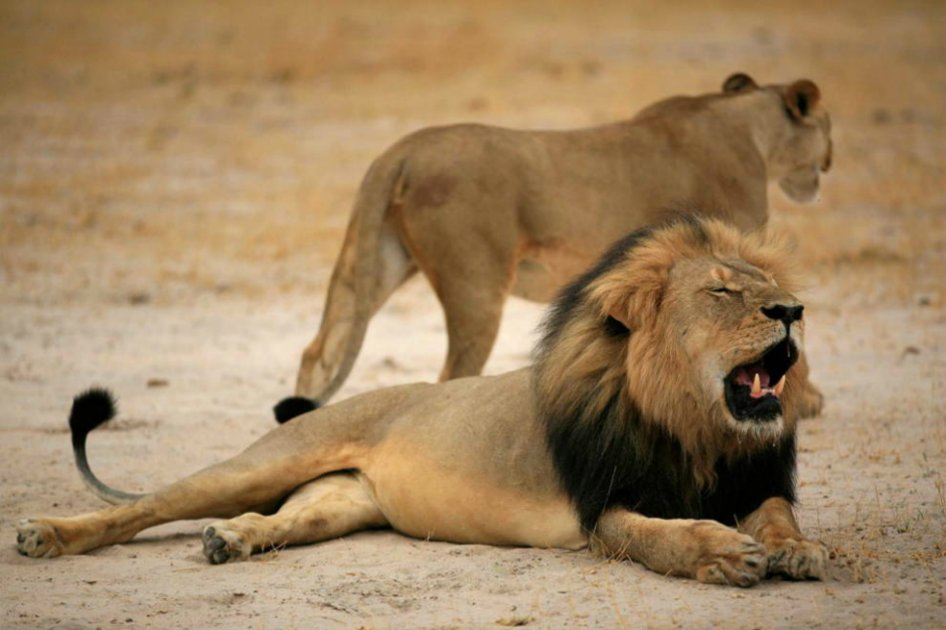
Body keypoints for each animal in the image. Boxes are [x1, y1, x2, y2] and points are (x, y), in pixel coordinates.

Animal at [17, 217, 827, 587]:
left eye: (766, 285)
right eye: (722, 292)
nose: (793, 310)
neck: (696, 428)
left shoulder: (752, 479)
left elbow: (778, 515)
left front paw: (797, 550)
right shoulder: (604, 507)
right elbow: (664, 536)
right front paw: (722, 553)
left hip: (339, 503)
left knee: (277, 520)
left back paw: (231, 541)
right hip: (265, 461)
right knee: (144, 508)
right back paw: (47, 535)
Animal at [285, 72, 832, 417]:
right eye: (827, 124)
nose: (828, 160)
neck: (750, 128)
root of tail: (400, 151)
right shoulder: (730, 252)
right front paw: (805, 401)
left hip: (376, 262)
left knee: (320, 351)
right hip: (475, 285)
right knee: (451, 374)